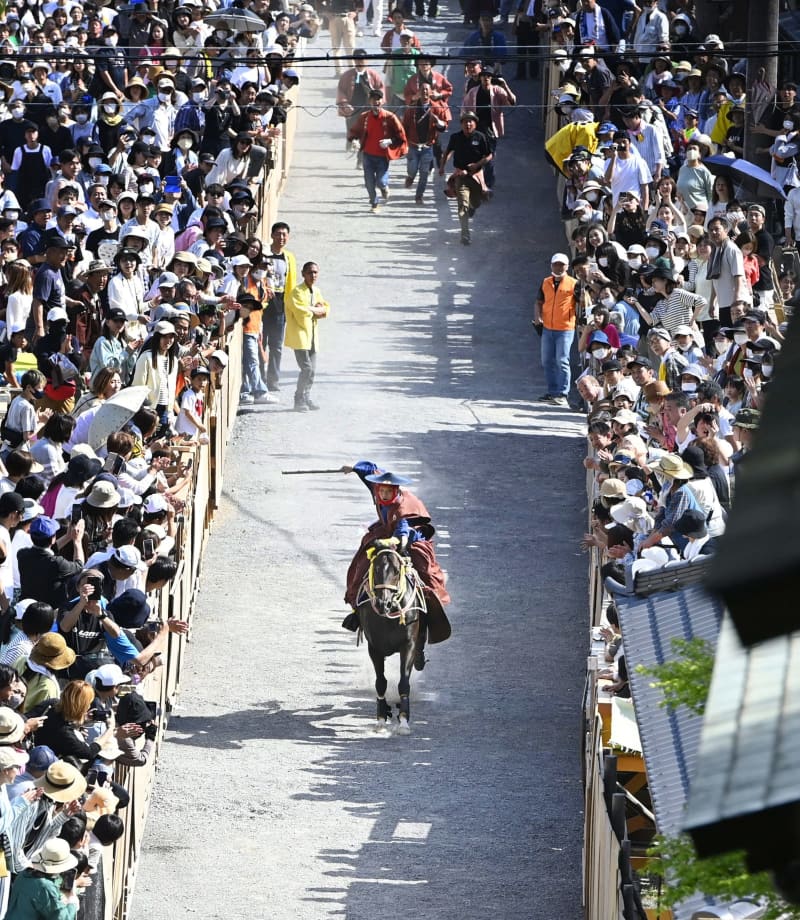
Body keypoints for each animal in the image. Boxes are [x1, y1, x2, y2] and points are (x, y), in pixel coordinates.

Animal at [356, 540, 428, 732]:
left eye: (396, 570)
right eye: (376, 568)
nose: (383, 603)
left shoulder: (408, 644)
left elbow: (404, 682)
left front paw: (403, 720)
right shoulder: (374, 647)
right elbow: (380, 682)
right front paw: (381, 717)